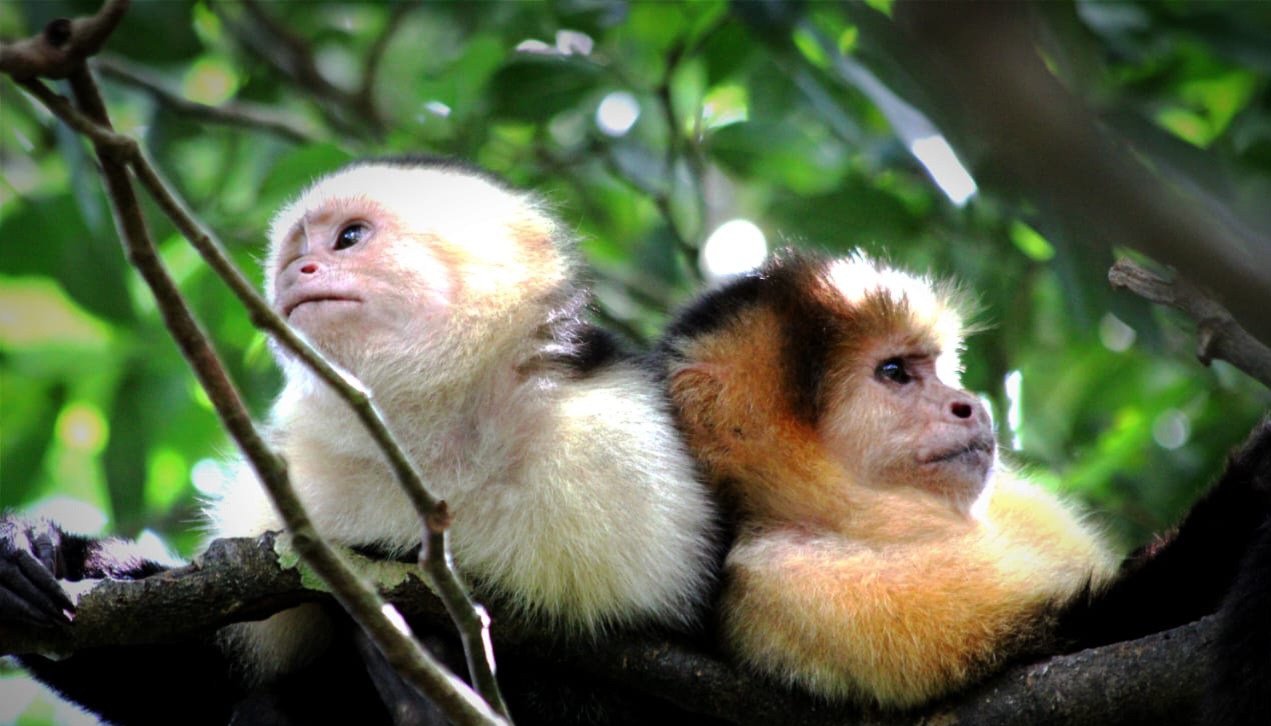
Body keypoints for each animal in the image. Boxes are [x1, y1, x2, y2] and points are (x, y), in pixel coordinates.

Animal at [0, 156, 719, 725]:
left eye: (349, 237)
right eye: (294, 253)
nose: (298, 272)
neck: (429, 452)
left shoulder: (621, 453)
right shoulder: (302, 483)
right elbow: (206, 669)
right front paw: (28, 547)